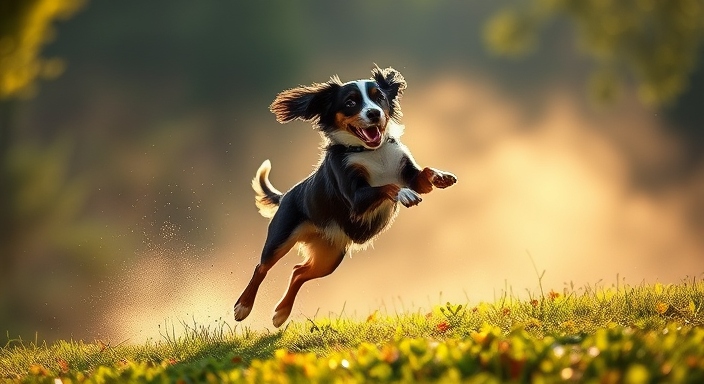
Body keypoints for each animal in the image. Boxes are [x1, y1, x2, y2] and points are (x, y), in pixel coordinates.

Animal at [234, 66, 460, 328]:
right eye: (351, 102)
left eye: (379, 97)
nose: (373, 113)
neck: (372, 152)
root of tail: (286, 196)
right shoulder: (356, 198)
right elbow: (388, 186)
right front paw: (403, 193)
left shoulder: (410, 174)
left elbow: (424, 174)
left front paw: (442, 176)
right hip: (282, 237)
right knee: (261, 267)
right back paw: (242, 307)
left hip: (329, 257)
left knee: (299, 271)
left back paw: (281, 313)